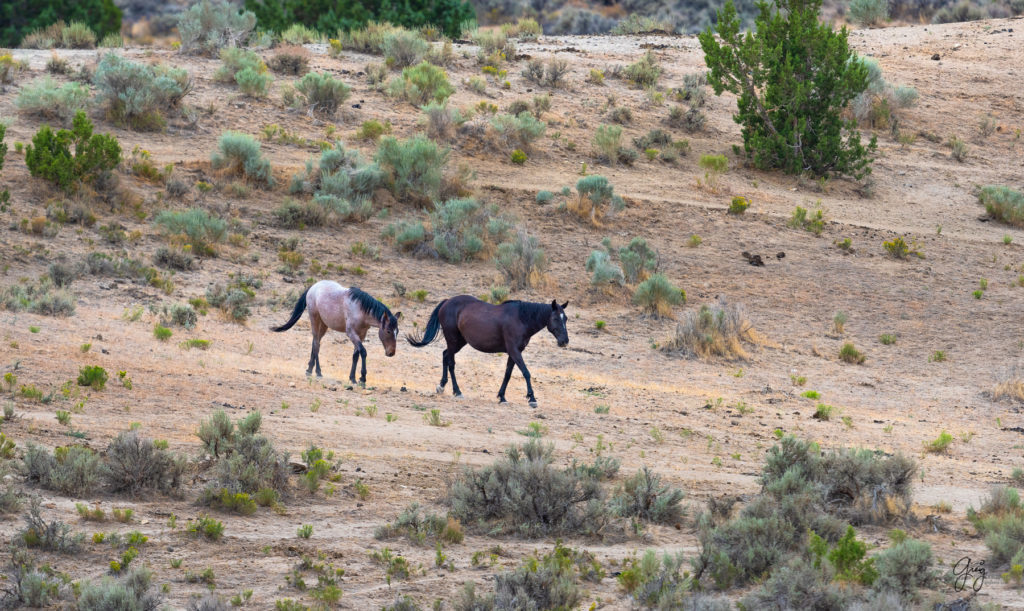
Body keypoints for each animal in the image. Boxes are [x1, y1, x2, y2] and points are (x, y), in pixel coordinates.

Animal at [270, 278, 401, 382]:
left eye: (397, 332)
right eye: (388, 331)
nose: (391, 352)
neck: (360, 309)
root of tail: (313, 287)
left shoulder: (361, 335)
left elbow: (356, 355)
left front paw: (352, 378)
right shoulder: (351, 333)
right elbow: (363, 352)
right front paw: (362, 378)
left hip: (324, 324)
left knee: (315, 342)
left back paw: (309, 369)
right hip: (314, 319)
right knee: (316, 344)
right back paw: (318, 372)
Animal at [405, 294, 569, 405]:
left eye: (565, 319)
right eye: (555, 318)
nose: (564, 341)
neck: (521, 319)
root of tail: (447, 301)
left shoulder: (514, 352)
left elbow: (508, 374)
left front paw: (502, 397)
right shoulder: (514, 351)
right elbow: (526, 372)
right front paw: (532, 398)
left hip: (459, 342)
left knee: (445, 355)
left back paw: (441, 386)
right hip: (452, 340)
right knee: (451, 362)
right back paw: (457, 391)